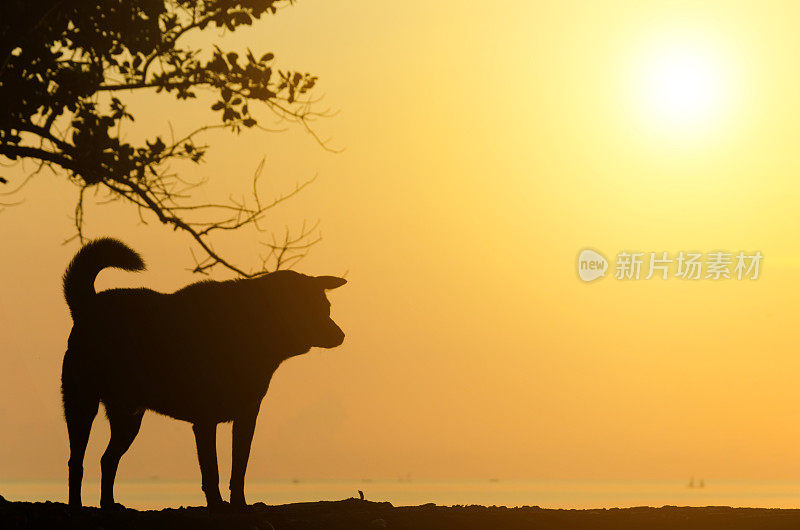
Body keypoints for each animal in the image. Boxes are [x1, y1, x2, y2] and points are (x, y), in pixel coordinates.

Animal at [61, 238, 346, 508]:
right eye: (313, 309)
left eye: (327, 308)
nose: (341, 335)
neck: (250, 327)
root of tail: (88, 305)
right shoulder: (205, 421)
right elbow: (212, 470)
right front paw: (217, 504)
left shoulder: (246, 417)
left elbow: (239, 467)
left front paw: (239, 504)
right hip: (82, 406)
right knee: (76, 461)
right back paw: (76, 505)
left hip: (128, 418)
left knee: (107, 459)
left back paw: (108, 504)